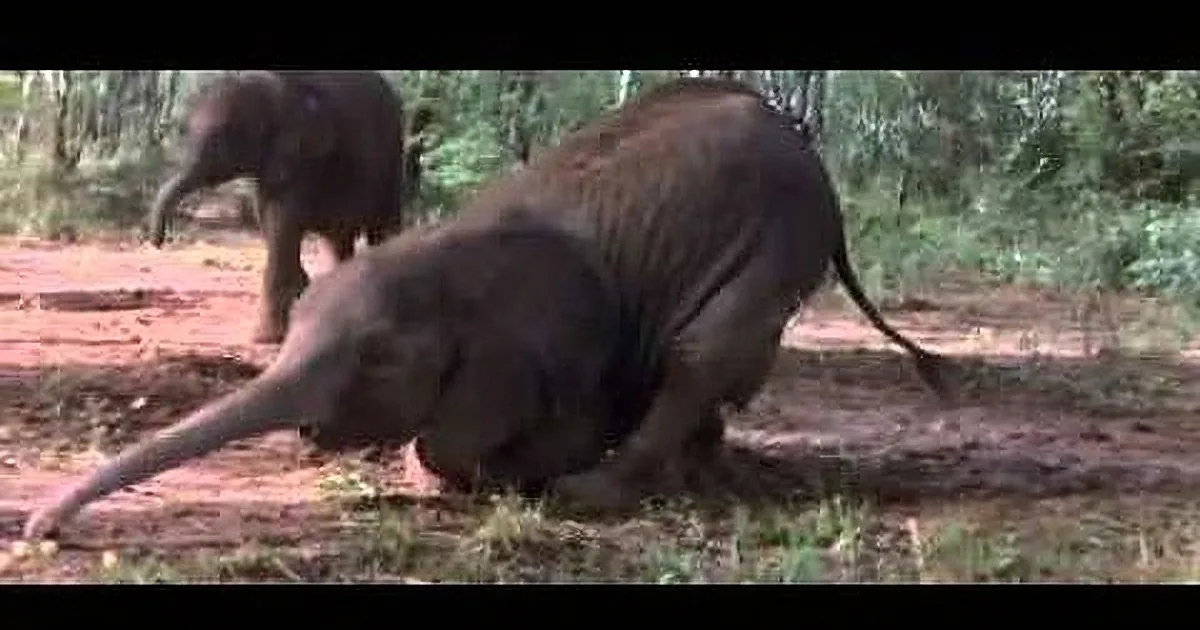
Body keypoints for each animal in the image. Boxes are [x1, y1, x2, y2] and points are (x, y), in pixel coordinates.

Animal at [147, 70, 424, 344]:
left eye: (224, 137)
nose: (158, 243)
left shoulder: (301, 160)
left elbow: (282, 223)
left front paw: (265, 338)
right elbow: (271, 224)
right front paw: (301, 291)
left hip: (392, 162)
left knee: (382, 229)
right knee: (339, 241)